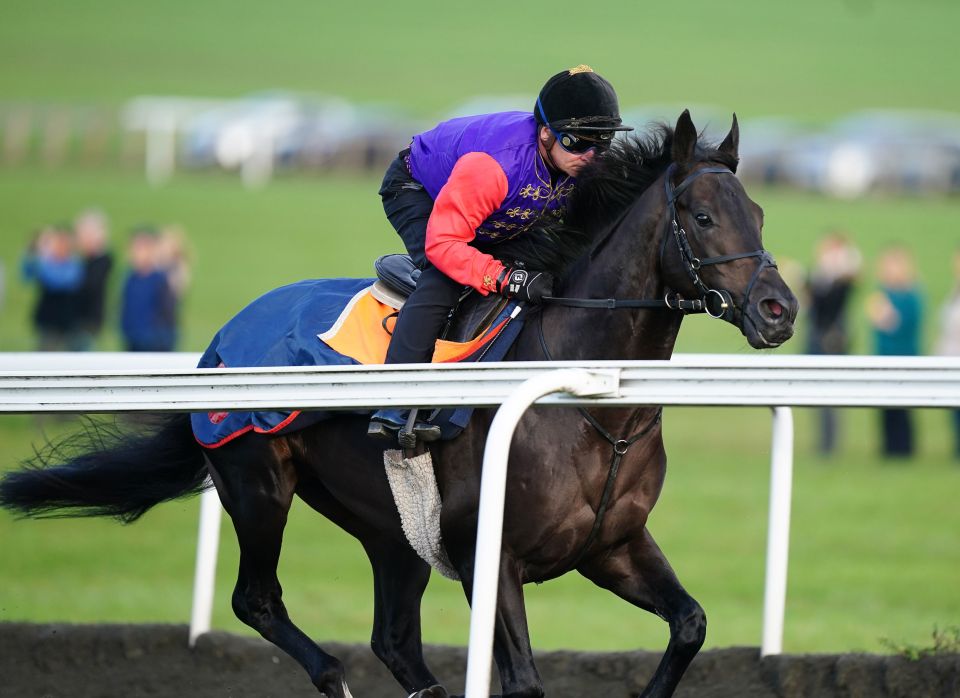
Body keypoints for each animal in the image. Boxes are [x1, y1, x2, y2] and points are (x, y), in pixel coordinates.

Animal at [1, 113, 796, 696]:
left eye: (759, 213)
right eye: (700, 215)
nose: (779, 309)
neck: (594, 401)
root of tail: (221, 342)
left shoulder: (613, 546)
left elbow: (690, 624)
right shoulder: (489, 556)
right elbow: (524, 682)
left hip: (393, 531)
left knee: (393, 640)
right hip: (258, 483)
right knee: (258, 601)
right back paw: (332, 675)